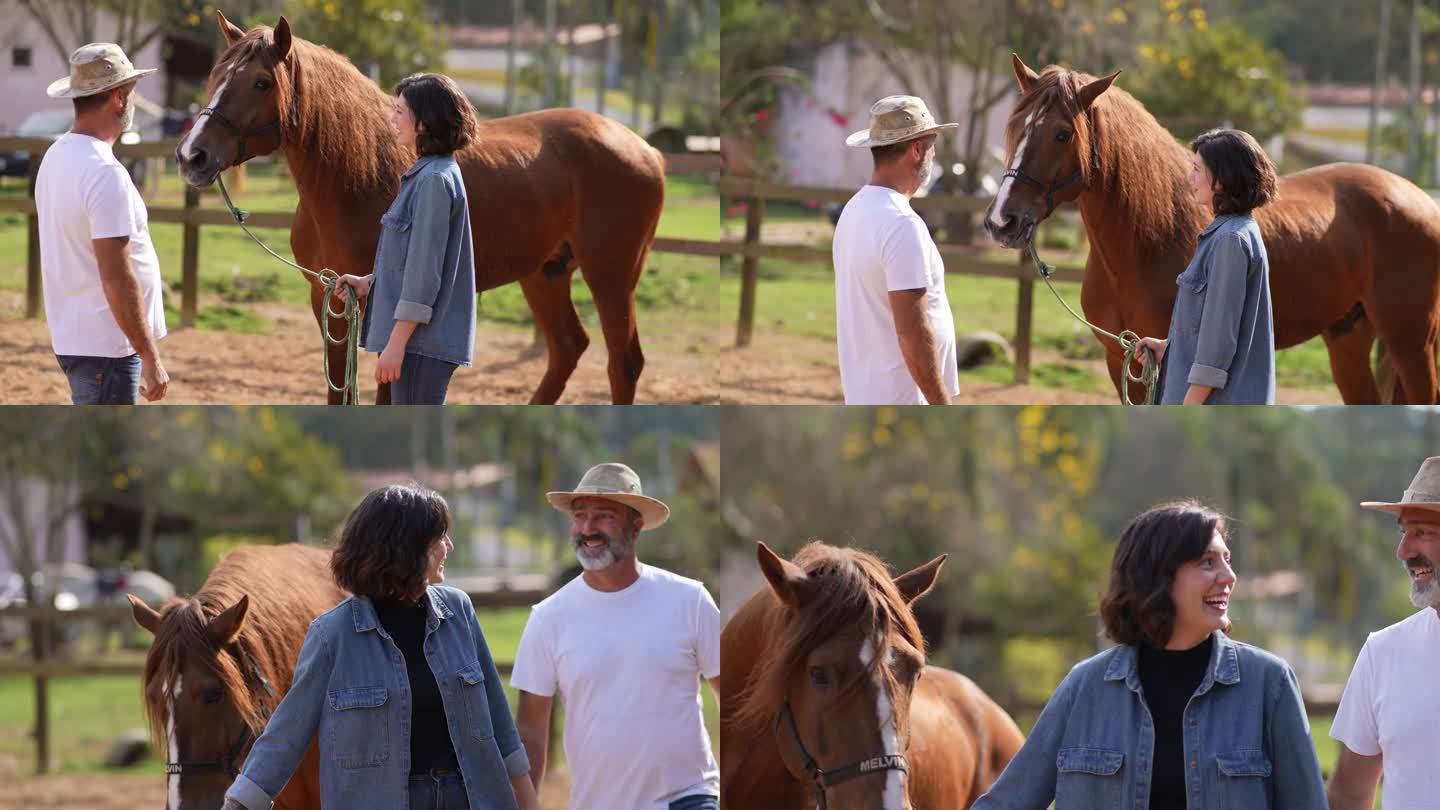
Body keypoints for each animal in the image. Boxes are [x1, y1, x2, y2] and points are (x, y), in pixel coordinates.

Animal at [174, 11, 662, 400]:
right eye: (216, 76)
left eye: (260, 83)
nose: (192, 156)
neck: (357, 176)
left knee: (624, 362)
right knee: (566, 349)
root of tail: (645, 148)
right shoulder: (330, 298)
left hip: (611, 277)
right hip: (546, 274)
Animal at [984, 53, 1440, 400]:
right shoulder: (1122, 359)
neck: (1146, 238)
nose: (1002, 220)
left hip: (1411, 345)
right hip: (1349, 339)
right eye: (1015, 127)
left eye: (1062, 134)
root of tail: (1420, 199)